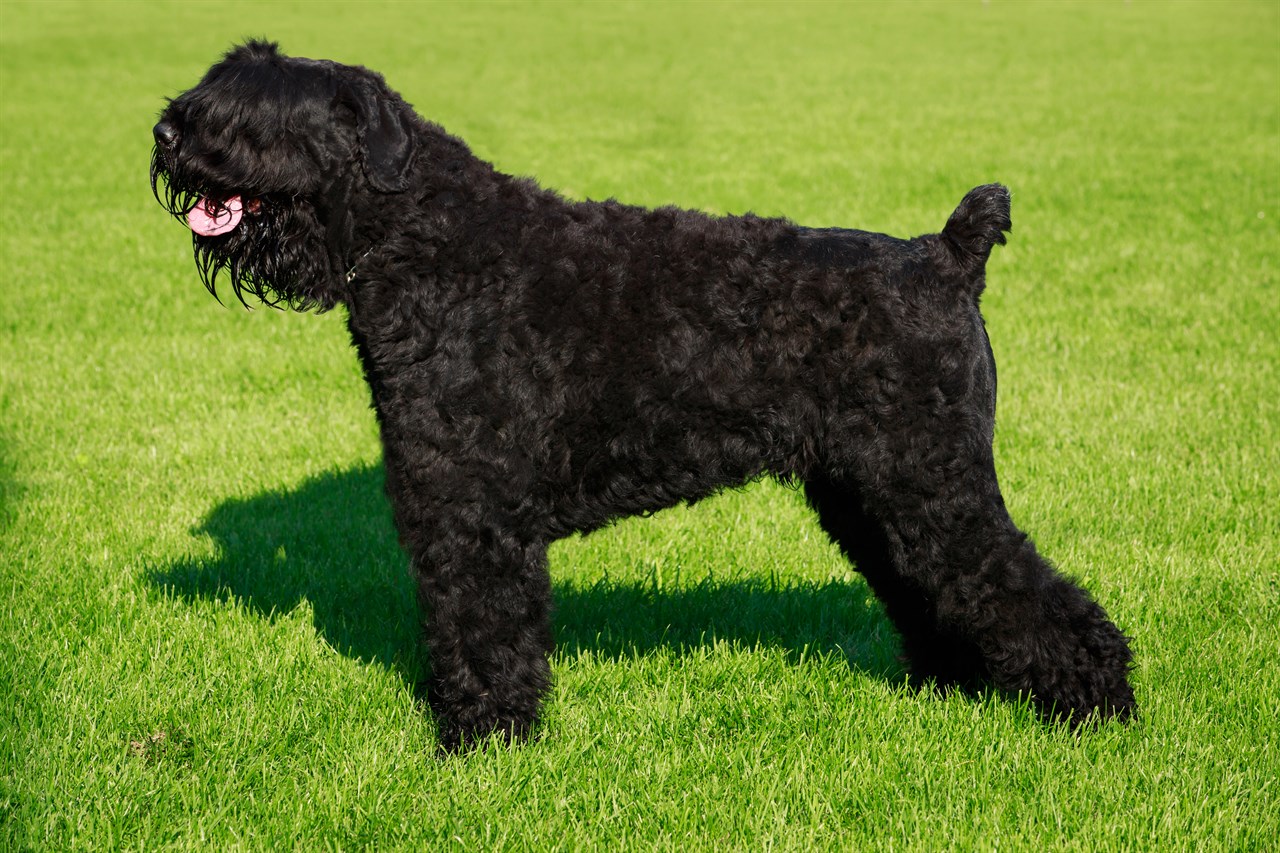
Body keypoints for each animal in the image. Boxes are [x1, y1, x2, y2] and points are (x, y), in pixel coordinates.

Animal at [154, 41, 1136, 742]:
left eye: (255, 109)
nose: (166, 132)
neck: (430, 246)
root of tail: (946, 256)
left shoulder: (472, 510)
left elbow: (482, 624)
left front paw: (483, 738)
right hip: (873, 491)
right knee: (933, 584)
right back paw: (950, 690)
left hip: (930, 480)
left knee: (1020, 586)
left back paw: (1098, 703)